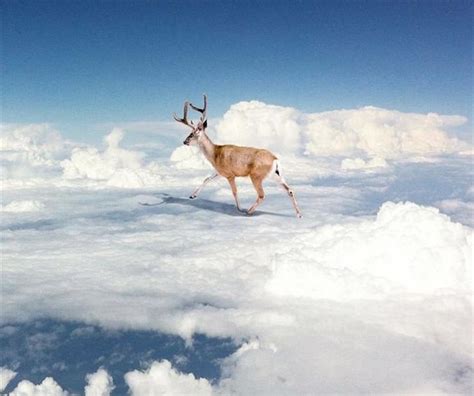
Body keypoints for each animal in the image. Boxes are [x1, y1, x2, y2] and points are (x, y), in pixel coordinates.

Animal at [172, 94, 302, 218]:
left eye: (193, 133)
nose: (185, 141)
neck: (215, 153)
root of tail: (275, 160)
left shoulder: (230, 174)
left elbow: (234, 191)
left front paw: (239, 209)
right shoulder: (220, 172)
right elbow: (206, 179)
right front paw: (192, 195)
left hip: (256, 176)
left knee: (262, 195)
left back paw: (248, 211)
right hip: (276, 175)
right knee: (289, 190)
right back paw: (299, 215)